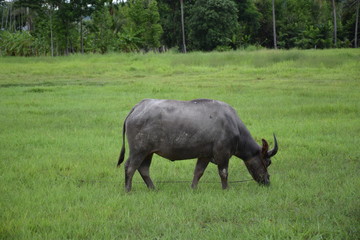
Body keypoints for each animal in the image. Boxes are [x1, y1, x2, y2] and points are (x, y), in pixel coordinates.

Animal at [118, 98, 278, 192]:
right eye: (267, 162)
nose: (267, 181)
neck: (234, 125)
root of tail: (137, 107)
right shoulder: (223, 154)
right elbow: (224, 172)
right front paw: (226, 189)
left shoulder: (205, 155)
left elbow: (198, 172)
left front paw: (193, 188)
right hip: (138, 150)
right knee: (130, 167)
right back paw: (128, 190)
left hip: (148, 152)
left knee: (143, 169)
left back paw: (153, 188)